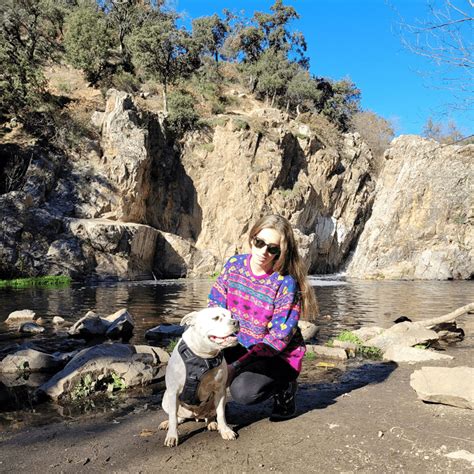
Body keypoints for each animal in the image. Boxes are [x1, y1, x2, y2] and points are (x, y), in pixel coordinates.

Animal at [159, 308, 239, 448]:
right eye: (216, 318)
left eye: (232, 316)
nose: (236, 322)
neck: (204, 356)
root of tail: (196, 415)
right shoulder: (173, 392)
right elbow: (173, 418)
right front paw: (172, 436)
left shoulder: (220, 391)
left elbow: (221, 414)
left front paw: (225, 430)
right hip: (166, 398)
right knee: (176, 417)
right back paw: (167, 423)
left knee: (210, 415)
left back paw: (212, 423)